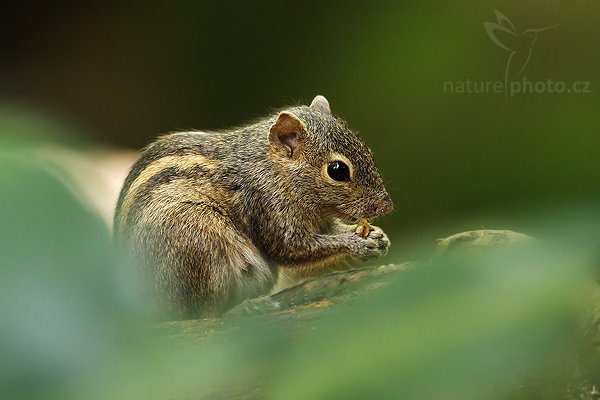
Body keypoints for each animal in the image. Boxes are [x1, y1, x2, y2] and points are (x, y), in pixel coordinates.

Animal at [112, 94, 394, 318]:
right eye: (337, 170)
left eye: (367, 150)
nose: (386, 205)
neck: (273, 168)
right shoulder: (266, 204)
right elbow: (292, 249)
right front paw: (357, 243)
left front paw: (378, 236)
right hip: (193, 240)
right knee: (200, 314)